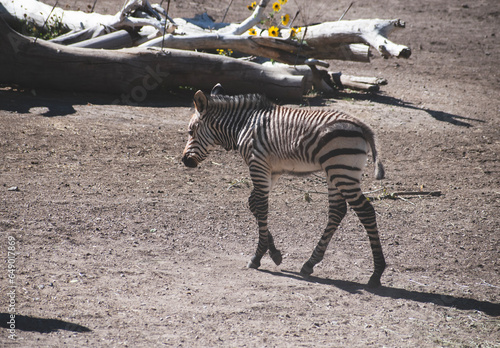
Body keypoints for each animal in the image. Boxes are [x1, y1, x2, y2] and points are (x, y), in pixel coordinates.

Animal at [182, 84, 388, 288]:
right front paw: (274, 253)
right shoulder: (272, 171)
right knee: (337, 211)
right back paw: (310, 263)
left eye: (191, 132)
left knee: (366, 211)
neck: (244, 125)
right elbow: (253, 204)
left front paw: (257, 256)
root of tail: (361, 125)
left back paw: (377, 273)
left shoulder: (258, 164)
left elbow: (261, 207)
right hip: (335, 172)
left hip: (342, 171)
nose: (185, 161)